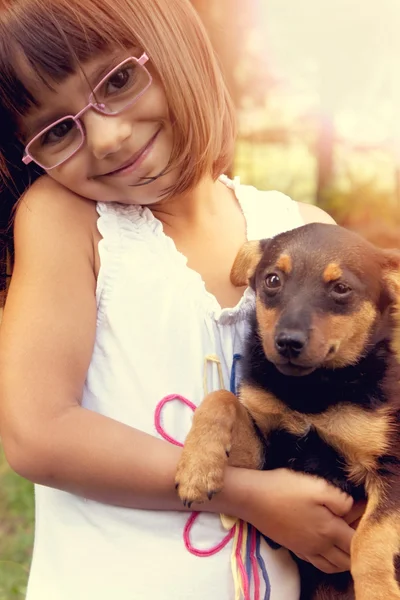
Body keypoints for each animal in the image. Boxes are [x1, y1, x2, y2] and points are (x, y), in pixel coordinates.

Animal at [177, 223, 400, 596]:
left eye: (341, 288)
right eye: (272, 280)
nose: (288, 343)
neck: (309, 392)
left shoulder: (391, 468)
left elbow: (371, 540)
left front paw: (377, 592)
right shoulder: (267, 459)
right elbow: (222, 398)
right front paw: (197, 467)